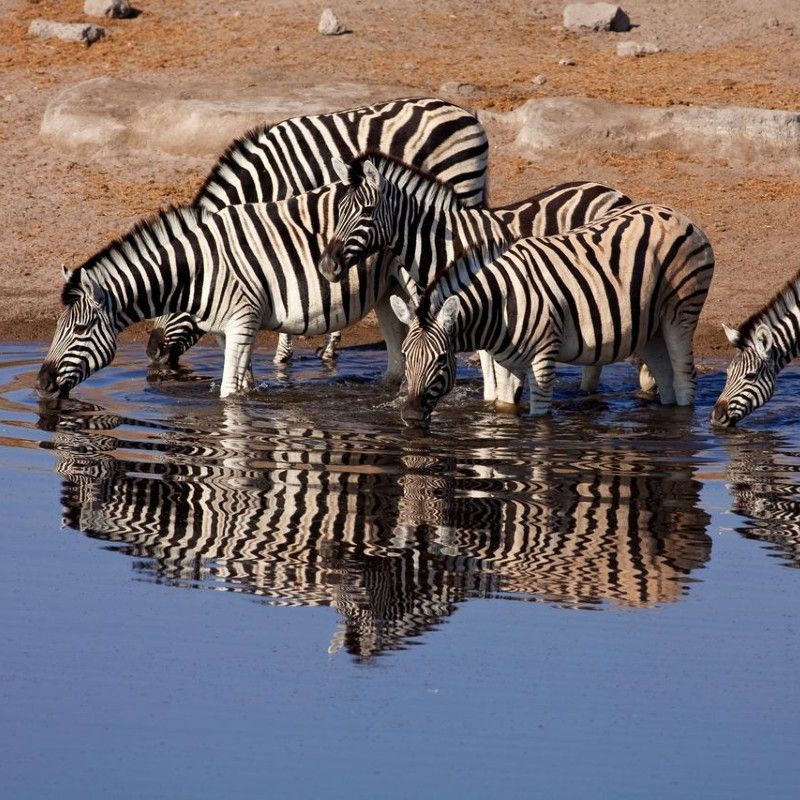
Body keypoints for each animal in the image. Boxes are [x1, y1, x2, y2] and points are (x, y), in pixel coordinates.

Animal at [36, 185, 411, 400]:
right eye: (56, 328)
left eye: (80, 329)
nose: (40, 384)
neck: (197, 270)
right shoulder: (224, 331)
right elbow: (243, 386)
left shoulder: (243, 322)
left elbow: (229, 394)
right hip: (384, 293)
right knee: (396, 357)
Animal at [148, 97, 490, 369]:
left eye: (177, 295)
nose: (152, 352)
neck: (265, 178)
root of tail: (467, 115)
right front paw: (326, 342)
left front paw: (285, 351)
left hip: (461, 182)